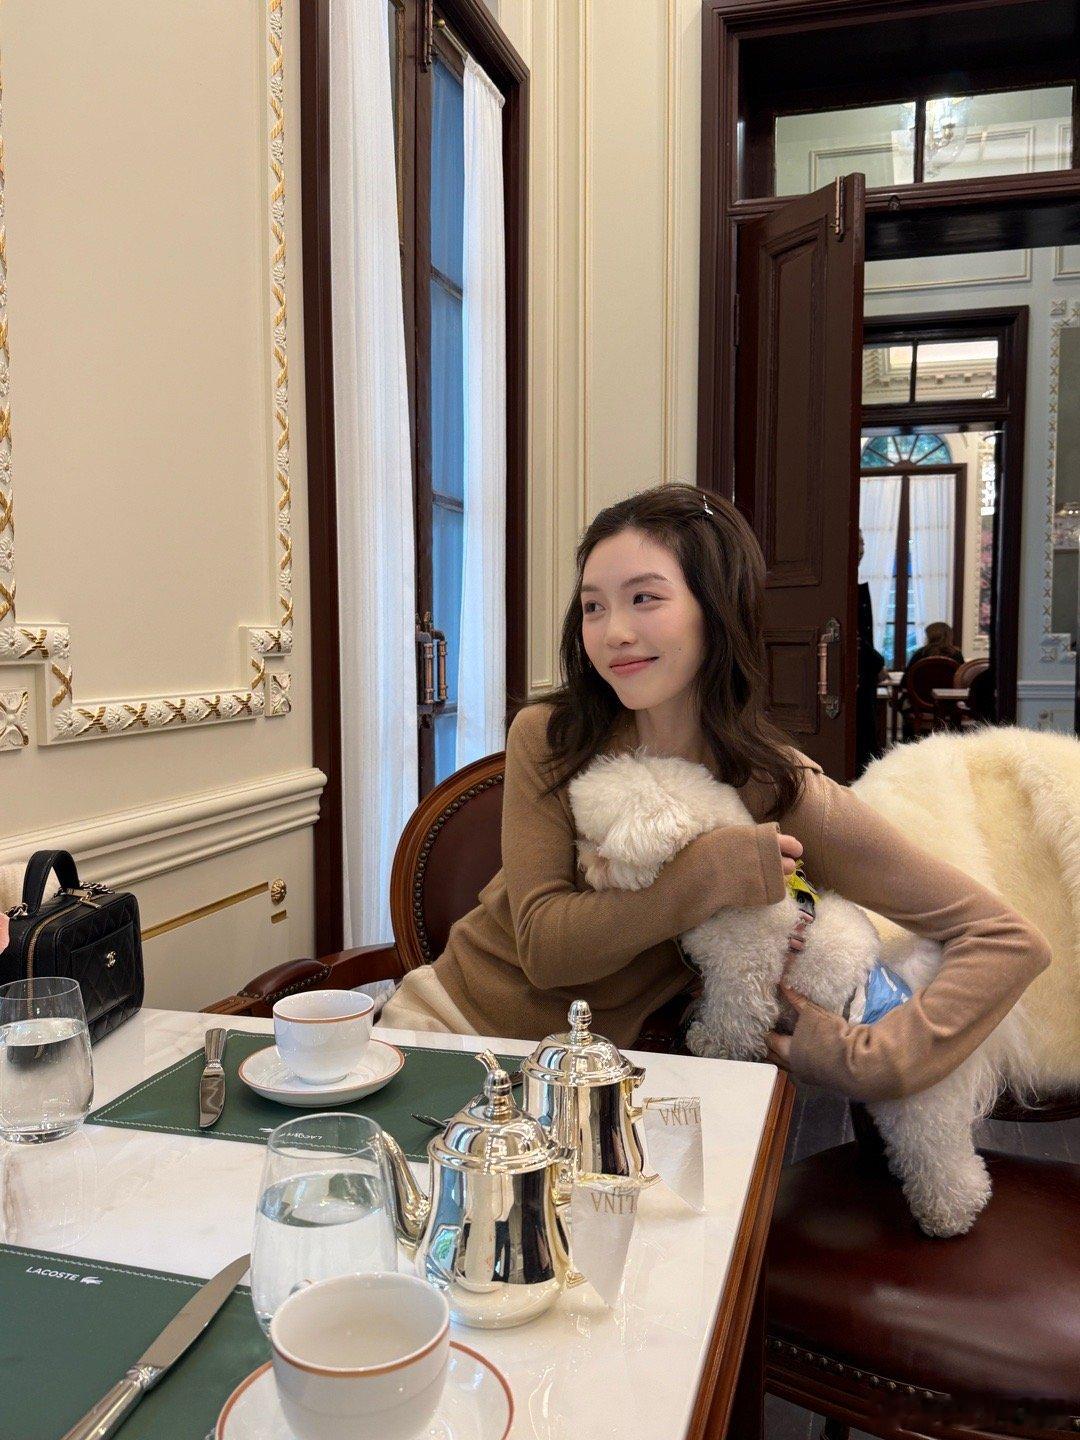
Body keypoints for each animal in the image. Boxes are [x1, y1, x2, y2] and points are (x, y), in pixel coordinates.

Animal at [569, 749, 1035, 1237]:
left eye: (596, 842)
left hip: (920, 1106)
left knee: (944, 1159)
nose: (581, 864)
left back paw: (949, 1215)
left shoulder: (742, 972)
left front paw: (710, 1043)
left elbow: (733, 1020)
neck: (728, 896)